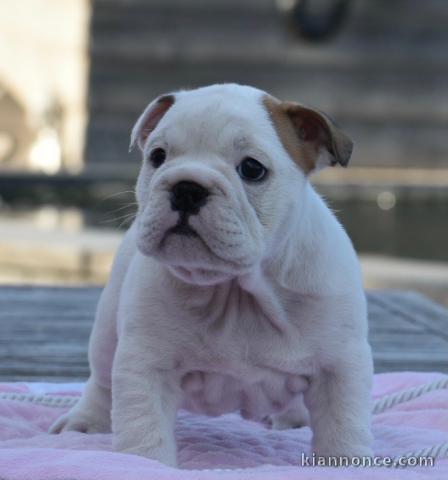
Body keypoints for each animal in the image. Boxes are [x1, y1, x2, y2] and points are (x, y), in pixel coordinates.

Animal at [51, 84, 374, 466]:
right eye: (157, 156)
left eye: (252, 168)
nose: (187, 187)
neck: (235, 287)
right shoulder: (146, 364)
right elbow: (144, 429)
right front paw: (144, 464)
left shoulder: (339, 367)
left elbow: (343, 428)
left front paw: (346, 460)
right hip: (106, 331)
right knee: (101, 382)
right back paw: (84, 421)